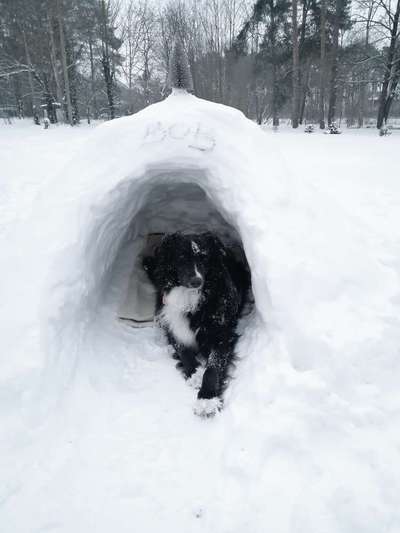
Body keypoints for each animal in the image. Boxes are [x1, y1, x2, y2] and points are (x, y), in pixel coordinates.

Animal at [143, 231, 250, 414]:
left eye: (204, 258)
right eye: (181, 257)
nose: (196, 281)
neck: (189, 295)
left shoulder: (222, 335)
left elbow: (213, 367)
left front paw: (207, 400)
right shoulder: (172, 325)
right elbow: (183, 350)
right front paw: (194, 374)